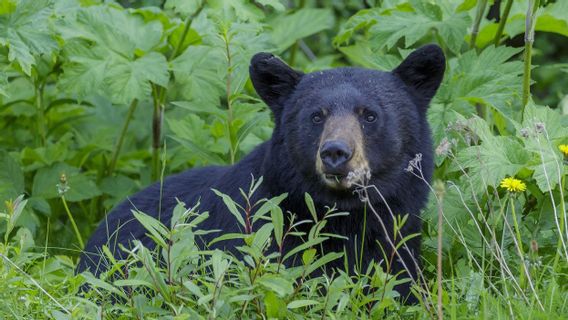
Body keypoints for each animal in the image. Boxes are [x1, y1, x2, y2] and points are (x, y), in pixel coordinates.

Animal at [77, 43, 446, 304]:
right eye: (316, 116)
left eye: (369, 115)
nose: (335, 153)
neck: (345, 217)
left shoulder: (398, 238)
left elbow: (401, 285)